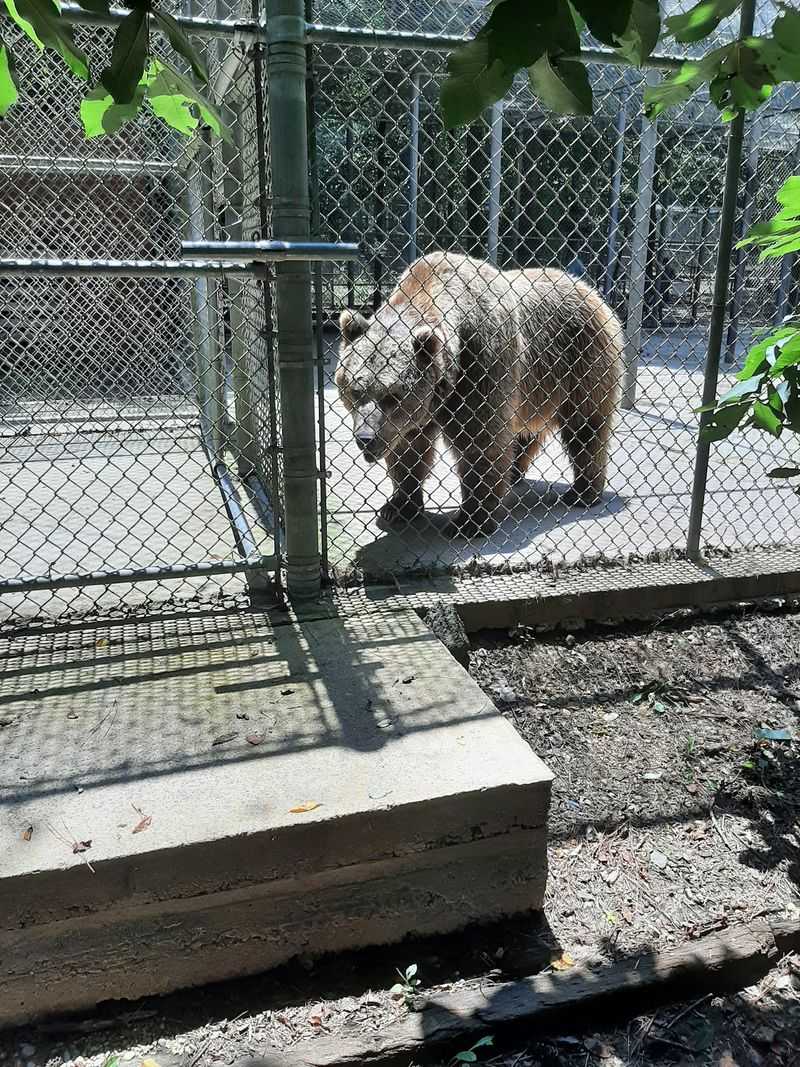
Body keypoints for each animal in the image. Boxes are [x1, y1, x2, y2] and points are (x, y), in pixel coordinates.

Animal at [335, 251, 623, 538]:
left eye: (392, 395)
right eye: (356, 390)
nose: (365, 438)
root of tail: (590, 290)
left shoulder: (481, 362)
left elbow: (480, 443)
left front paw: (469, 521)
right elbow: (408, 449)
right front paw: (397, 506)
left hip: (581, 359)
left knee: (585, 427)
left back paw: (583, 491)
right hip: (536, 388)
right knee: (524, 430)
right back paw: (515, 472)